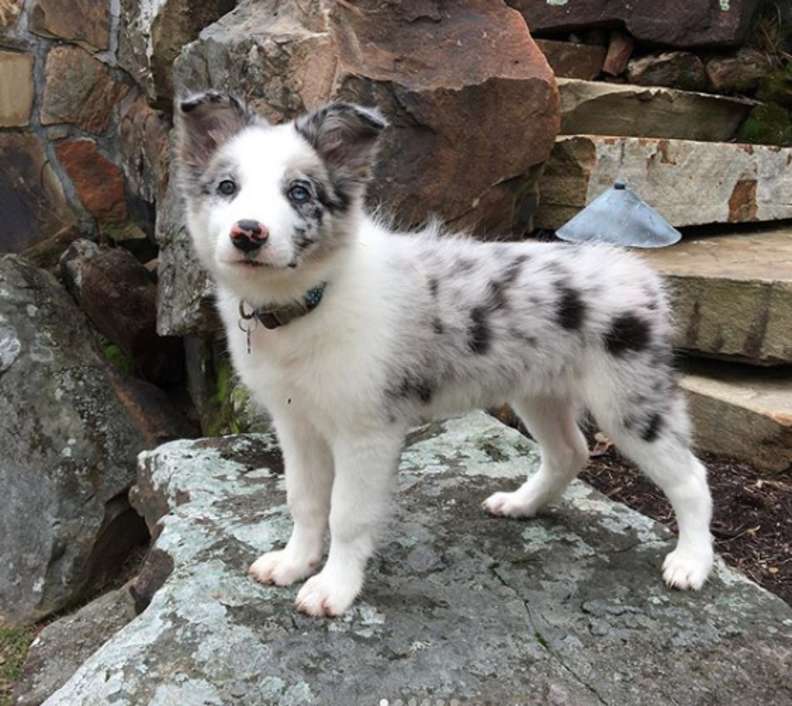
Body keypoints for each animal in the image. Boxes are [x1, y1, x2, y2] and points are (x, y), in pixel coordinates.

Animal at [175, 91, 716, 612]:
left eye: (299, 193)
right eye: (227, 187)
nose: (248, 233)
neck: (310, 299)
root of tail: (635, 270)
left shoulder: (365, 432)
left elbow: (346, 515)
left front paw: (333, 589)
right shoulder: (296, 423)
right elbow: (304, 501)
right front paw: (293, 563)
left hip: (629, 401)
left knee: (691, 478)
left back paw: (691, 563)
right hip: (538, 390)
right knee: (570, 451)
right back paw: (522, 504)